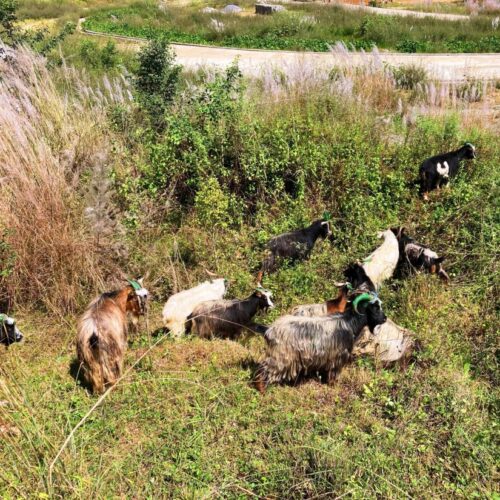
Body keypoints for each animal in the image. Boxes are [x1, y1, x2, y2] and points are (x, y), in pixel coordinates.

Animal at [255, 292, 386, 393]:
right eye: (374, 307)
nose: (384, 319)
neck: (349, 323)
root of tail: (269, 330)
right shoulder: (337, 357)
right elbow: (334, 374)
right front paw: (333, 386)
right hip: (280, 357)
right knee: (263, 370)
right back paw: (262, 390)